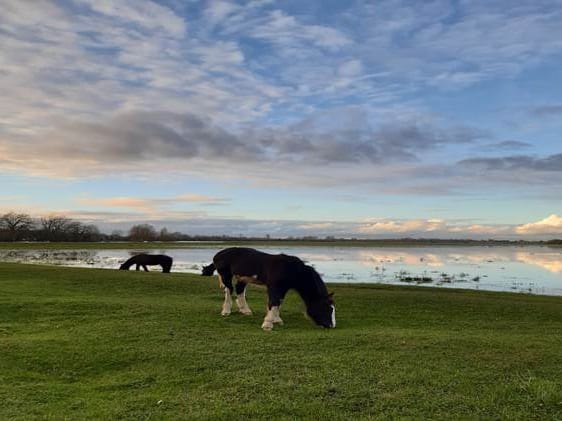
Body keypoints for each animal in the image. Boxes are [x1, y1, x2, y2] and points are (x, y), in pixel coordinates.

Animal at [200, 246, 332, 328]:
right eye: (327, 308)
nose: (330, 325)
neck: (291, 269)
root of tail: (218, 255)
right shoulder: (274, 287)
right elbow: (273, 302)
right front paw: (268, 324)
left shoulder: (283, 288)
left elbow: (279, 302)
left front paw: (276, 320)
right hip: (226, 275)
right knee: (229, 290)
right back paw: (226, 311)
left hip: (242, 278)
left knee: (239, 290)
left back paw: (245, 311)